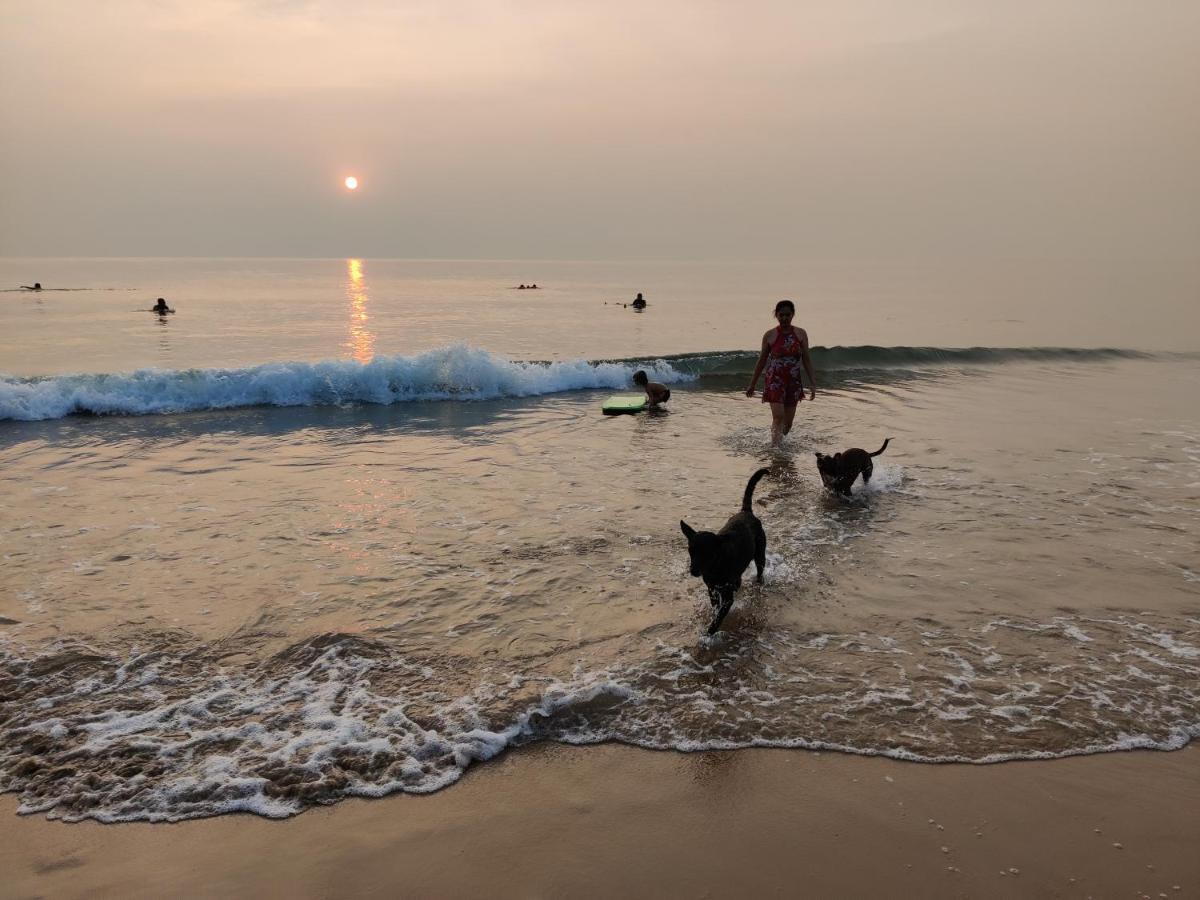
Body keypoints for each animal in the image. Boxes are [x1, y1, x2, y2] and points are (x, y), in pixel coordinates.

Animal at [676, 472, 768, 633]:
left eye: (707, 553)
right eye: (690, 551)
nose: (693, 571)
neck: (716, 566)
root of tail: (746, 512)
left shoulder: (727, 597)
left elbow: (719, 616)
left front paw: (710, 632)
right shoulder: (712, 589)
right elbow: (715, 608)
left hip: (760, 554)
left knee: (760, 569)